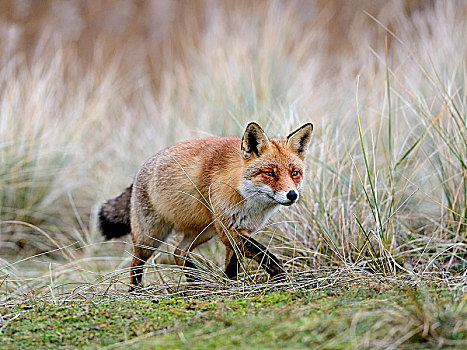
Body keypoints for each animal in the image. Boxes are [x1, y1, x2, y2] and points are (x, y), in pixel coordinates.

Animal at [100, 121, 316, 288]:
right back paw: (135, 291)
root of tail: (138, 172)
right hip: (151, 237)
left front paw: (229, 284)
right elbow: (264, 254)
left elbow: (233, 264)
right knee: (136, 263)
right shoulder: (228, 229)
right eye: (269, 173)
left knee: (179, 252)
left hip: (205, 231)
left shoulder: (240, 229)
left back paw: (194, 280)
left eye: (294, 173)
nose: (292, 195)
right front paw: (282, 277)